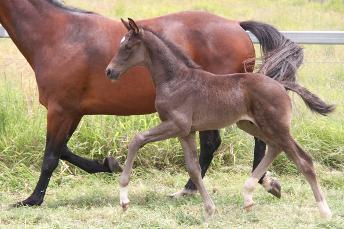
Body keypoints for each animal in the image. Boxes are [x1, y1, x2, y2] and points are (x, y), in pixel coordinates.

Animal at [0, 0, 300, 208]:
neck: (59, 35)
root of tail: (236, 26)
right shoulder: (72, 112)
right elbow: (62, 150)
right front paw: (108, 163)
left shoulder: (60, 110)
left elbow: (51, 156)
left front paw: (31, 200)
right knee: (217, 143)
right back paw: (198, 188)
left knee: (240, 141)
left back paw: (256, 183)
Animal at [106, 19, 334, 218]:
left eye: (127, 46)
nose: (109, 71)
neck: (175, 80)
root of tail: (281, 84)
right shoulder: (186, 132)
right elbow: (193, 168)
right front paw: (209, 208)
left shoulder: (176, 125)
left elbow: (137, 139)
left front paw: (124, 200)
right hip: (250, 124)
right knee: (274, 147)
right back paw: (249, 196)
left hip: (276, 126)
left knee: (302, 160)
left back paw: (324, 211)